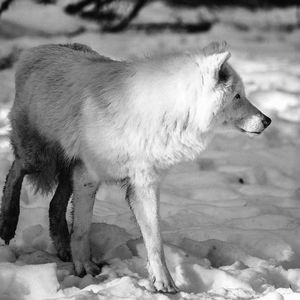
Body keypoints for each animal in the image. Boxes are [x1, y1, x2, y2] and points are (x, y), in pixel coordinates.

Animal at [0, 41, 272, 292]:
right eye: (238, 96)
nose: (267, 120)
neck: (164, 112)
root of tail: (39, 48)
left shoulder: (143, 185)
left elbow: (155, 241)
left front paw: (163, 282)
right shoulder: (89, 175)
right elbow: (83, 228)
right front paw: (85, 267)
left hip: (67, 172)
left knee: (54, 206)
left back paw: (62, 248)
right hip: (38, 158)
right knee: (15, 172)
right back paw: (8, 223)